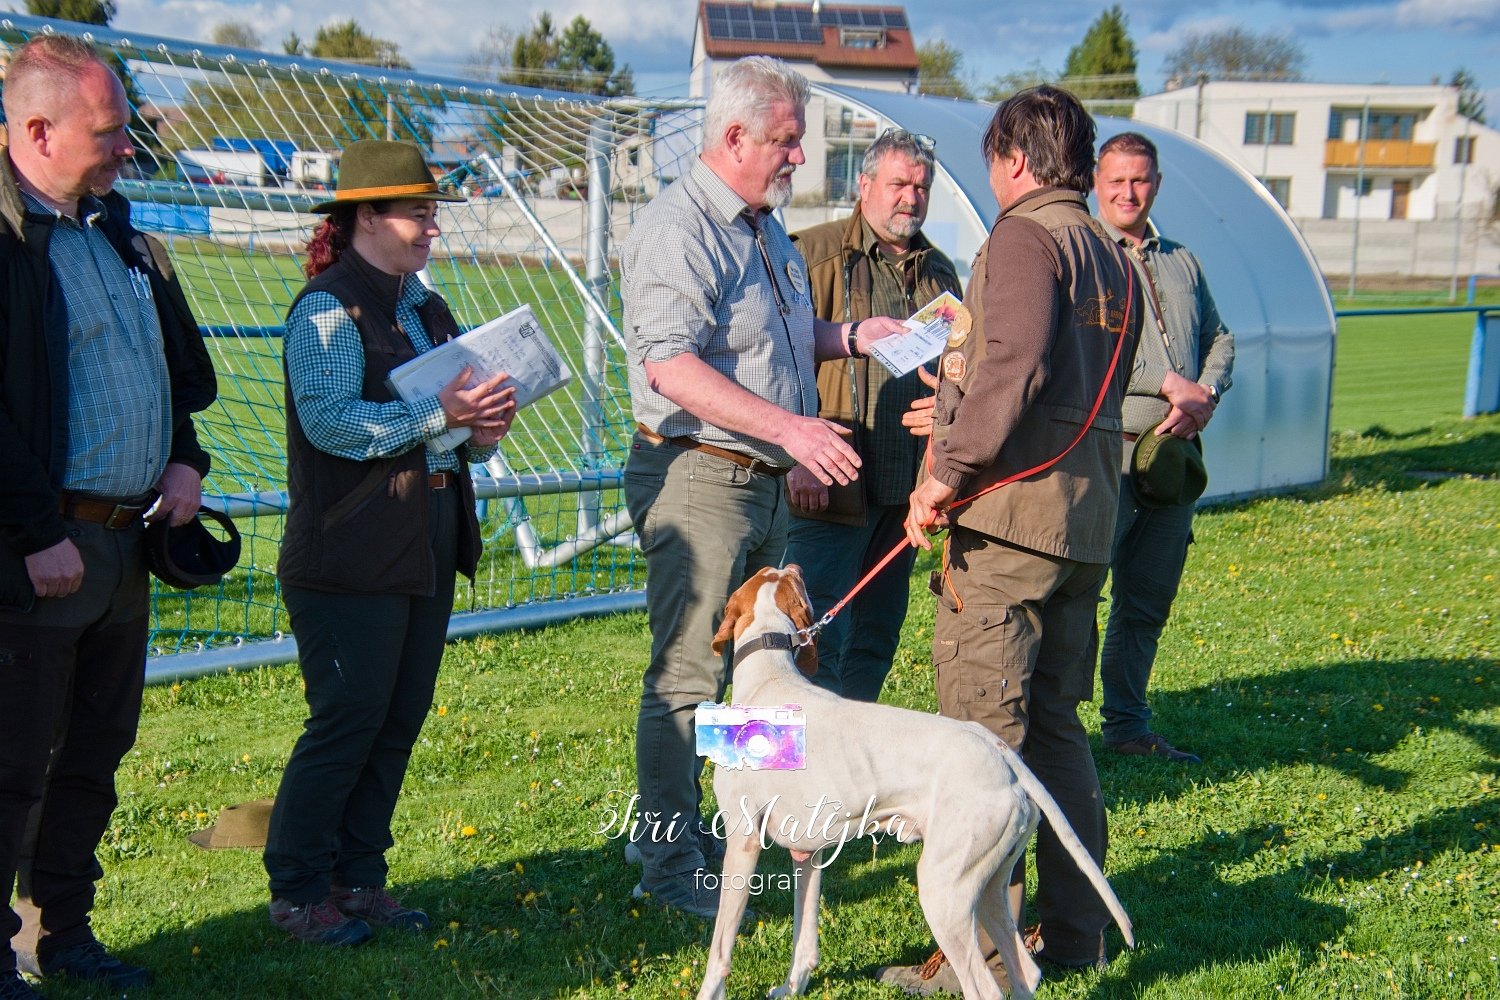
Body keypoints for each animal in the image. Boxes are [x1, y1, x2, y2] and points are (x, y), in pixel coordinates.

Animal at [695, 565, 1133, 1000]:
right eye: (774, 575)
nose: (794, 566)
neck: (769, 674)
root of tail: (1002, 755)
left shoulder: (743, 844)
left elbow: (720, 952)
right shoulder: (809, 853)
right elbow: (804, 937)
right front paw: (792, 987)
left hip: (943, 892)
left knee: (984, 986)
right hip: (989, 889)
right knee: (1026, 971)